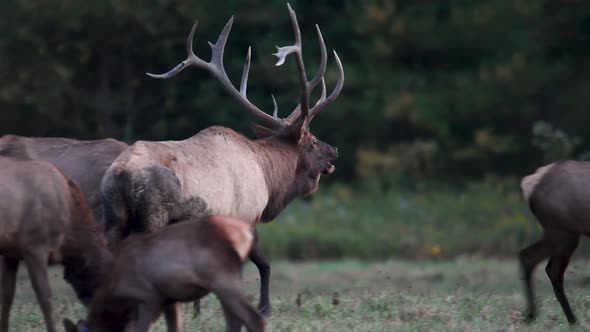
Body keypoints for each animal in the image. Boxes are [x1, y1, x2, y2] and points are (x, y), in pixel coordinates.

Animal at [62, 215, 264, 332]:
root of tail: (249, 232)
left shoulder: (148, 297)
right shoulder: (170, 300)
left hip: (223, 278)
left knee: (254, 318)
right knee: (235, 321)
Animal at [101, 3, 342, 320]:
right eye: (313, 141)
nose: (335, 151)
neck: (268, 177)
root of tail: (119, 173)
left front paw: (197, 312)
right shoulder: (245, 216)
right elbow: (262, 265)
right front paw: (263, 309)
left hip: (113, 216)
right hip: (152, 217)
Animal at [520, 161, 590, 324]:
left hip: (556, 232)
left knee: (527, 256)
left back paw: (530, 315)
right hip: (563, 232)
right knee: (553, 270)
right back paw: (573, 320)